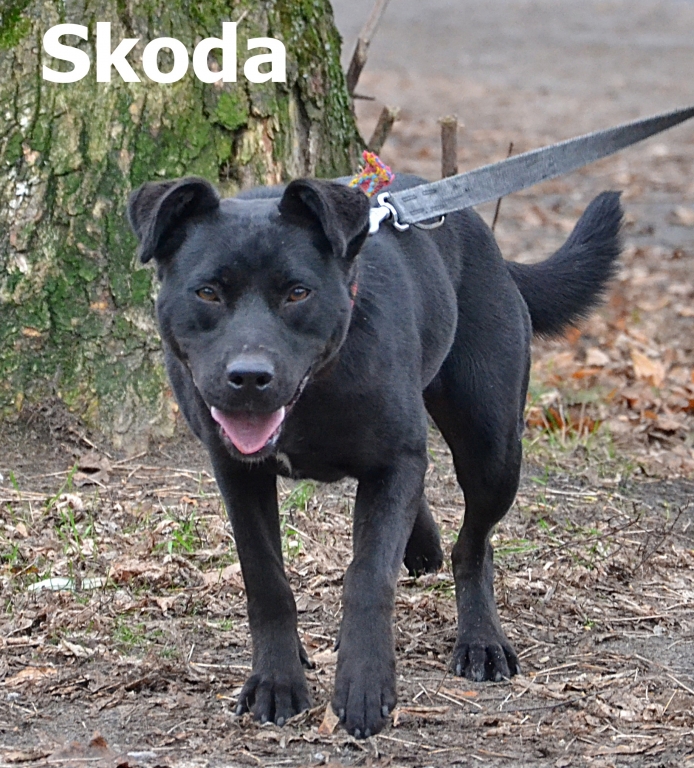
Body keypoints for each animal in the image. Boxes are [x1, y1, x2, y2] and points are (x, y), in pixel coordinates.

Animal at [128, 173, 622, 738]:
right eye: (208, 292)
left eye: (298, 292)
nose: (250, 377)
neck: (315, 391)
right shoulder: (237, 470)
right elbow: (266, 578)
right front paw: (276, 680)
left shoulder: (394, 461)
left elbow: (367, 576)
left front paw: (363, 684)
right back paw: (423, 545)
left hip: (492, 448)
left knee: (475, 546)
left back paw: (481, 641)